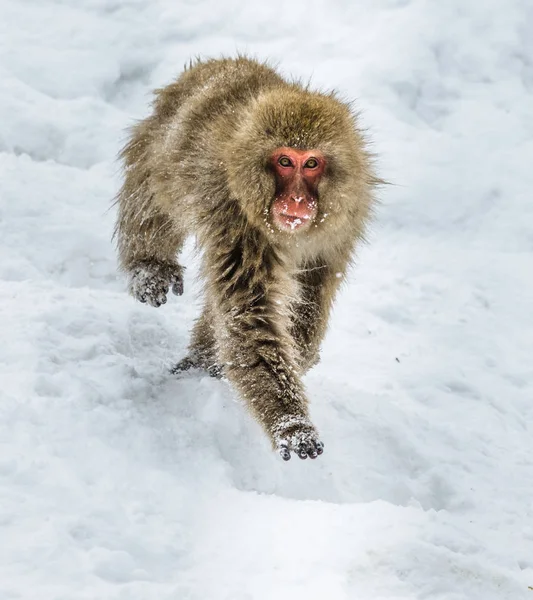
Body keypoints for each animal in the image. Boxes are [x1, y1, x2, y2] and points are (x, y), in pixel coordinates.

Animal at [115, 57, 378, 460]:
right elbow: (249, 318)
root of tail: (216, 64)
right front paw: (292, 424)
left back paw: (202, 362)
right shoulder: (236, 222)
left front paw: (296, 360)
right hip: (160, 142)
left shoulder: (340, 226)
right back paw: (150, 267)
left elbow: (310, 297)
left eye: (311, 163)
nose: (297, 201)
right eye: (285, 161)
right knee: (152, 196)